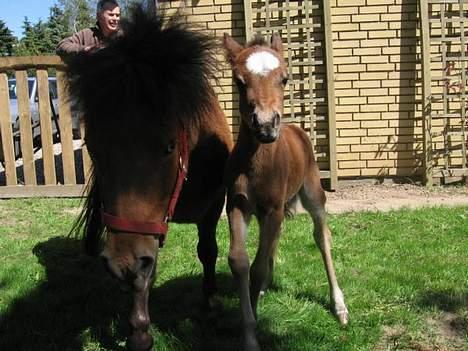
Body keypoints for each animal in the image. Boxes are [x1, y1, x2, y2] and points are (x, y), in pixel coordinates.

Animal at [66, 6, 232, 351]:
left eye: (169, 146)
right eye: (93, 148)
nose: (122, 263)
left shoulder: (213, 206)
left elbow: (207, 250)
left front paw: (210, 301)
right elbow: (144, 274)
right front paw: (140, 332)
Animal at [223, 33, 348, 351]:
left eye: (285, 78)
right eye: (239, 81)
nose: (266, 125)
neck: (257, 163)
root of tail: (296, 129)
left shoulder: (273, 209)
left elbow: (257, 268)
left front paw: (254, 328)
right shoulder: (238, 206)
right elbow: (240, 262)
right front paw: (249, 330)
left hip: (313, 194)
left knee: (322, 238)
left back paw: (339, 306)